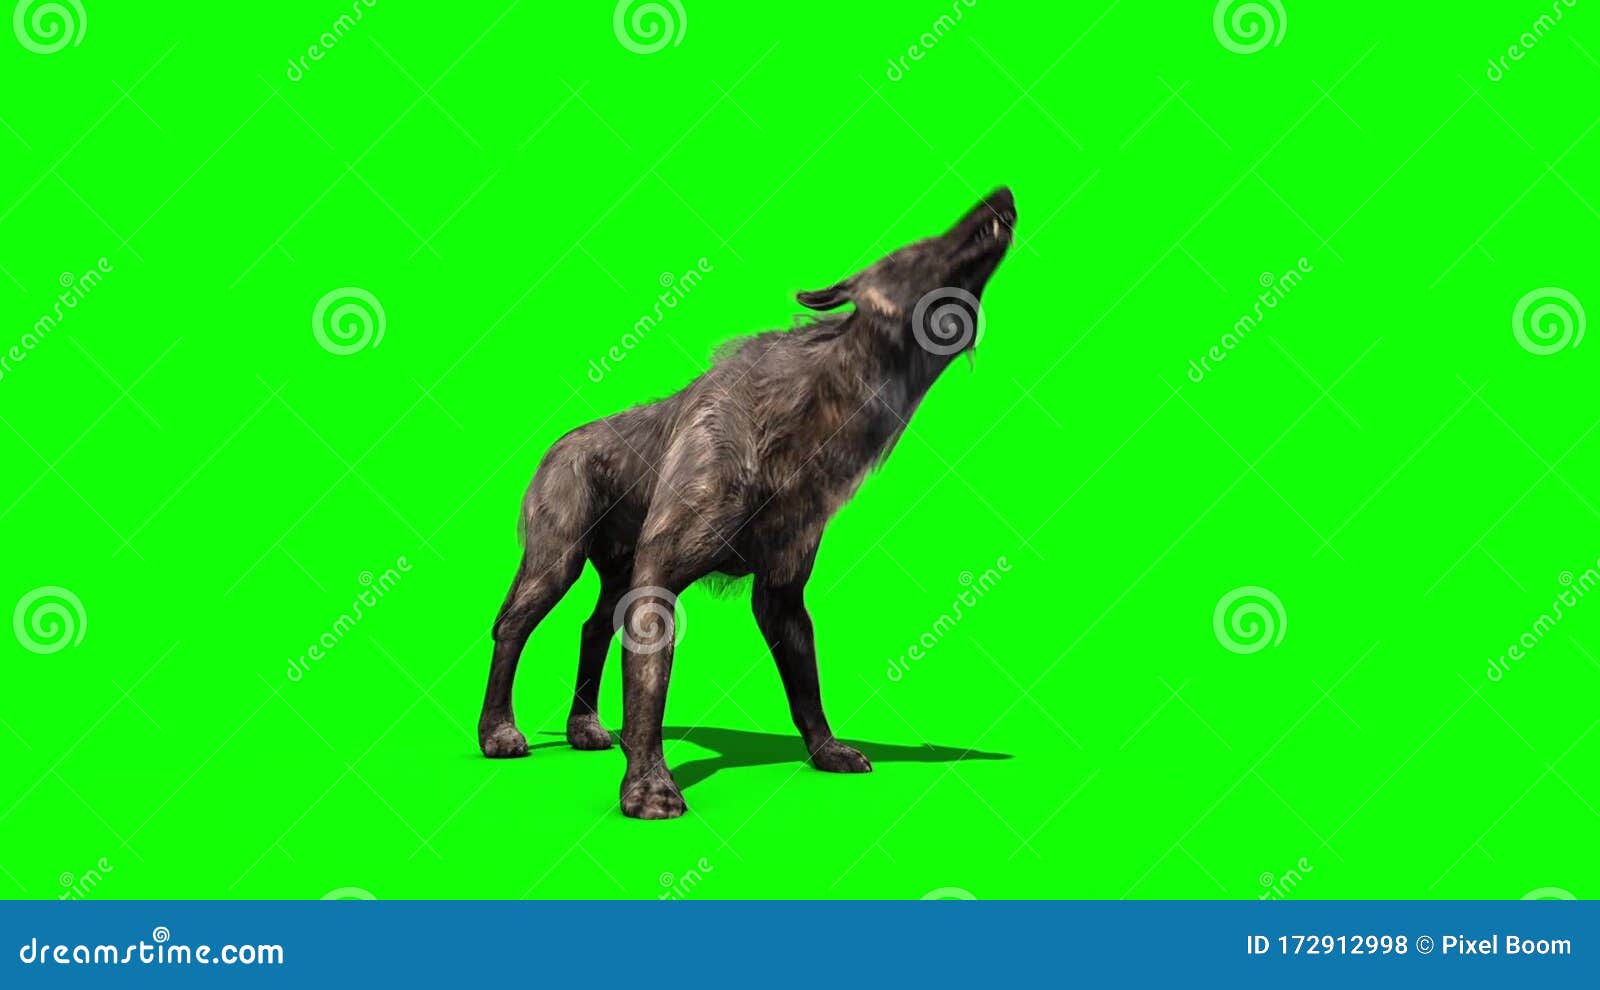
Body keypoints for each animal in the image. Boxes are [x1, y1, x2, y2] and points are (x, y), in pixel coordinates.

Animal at [479, 187, 1017, 818]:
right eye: (924, 245)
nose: (1003, 194)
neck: (811, 423)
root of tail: (556, 445)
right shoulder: (660, 580)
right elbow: (649, 697)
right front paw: (648, 788)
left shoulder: (780, 595)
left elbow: (807, 691)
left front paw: (828, 752)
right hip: (555, 563)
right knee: (511, 627)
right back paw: (498, 734)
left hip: (615, 577)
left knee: (591, 629)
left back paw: (585, 729)